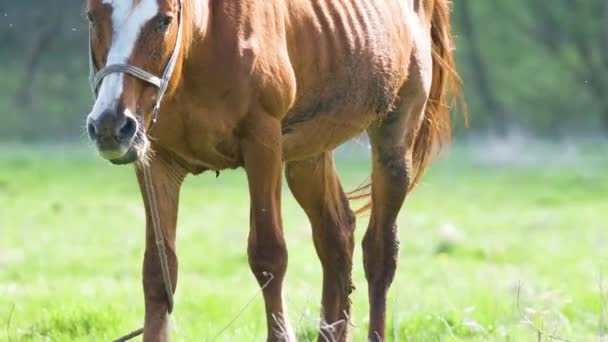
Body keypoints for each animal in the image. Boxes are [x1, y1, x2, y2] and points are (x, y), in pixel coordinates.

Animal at [83, 0, 458, 340]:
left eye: (164, 20)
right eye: (92, 17)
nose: (110, 124)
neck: (202, 44)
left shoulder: (263, 144)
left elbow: (269, 256)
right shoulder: (155, 160)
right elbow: (158, 273)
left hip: (394, 138)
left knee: (379, 251)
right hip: (309, 154)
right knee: (336, 238)